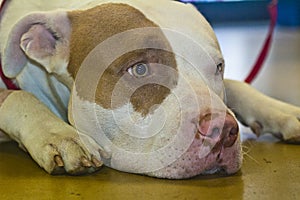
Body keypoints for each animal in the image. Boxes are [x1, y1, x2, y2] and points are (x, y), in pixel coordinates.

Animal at [0, 0, 300, 179]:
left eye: (218, 67)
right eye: (140, 69)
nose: (221, 130)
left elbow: (237, 84)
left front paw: (282, 111)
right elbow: (17, 97)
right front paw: (60, 135)